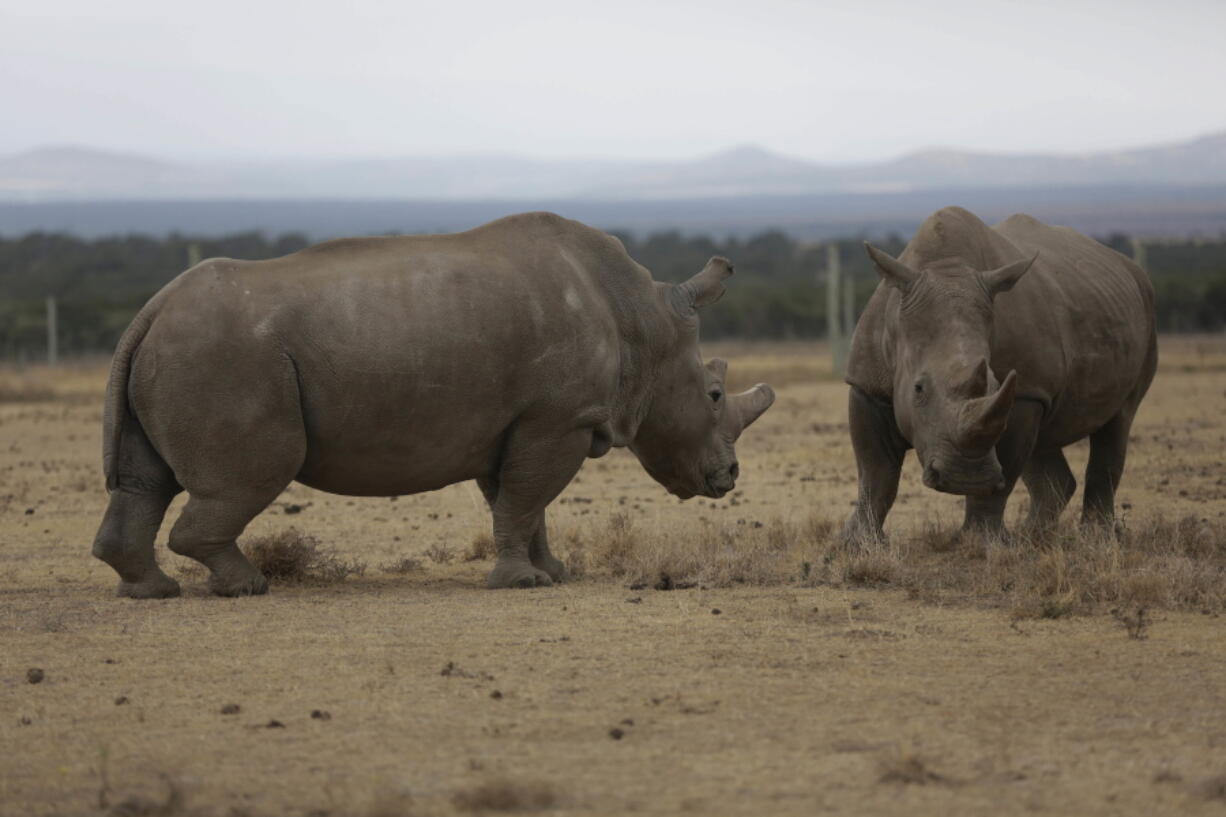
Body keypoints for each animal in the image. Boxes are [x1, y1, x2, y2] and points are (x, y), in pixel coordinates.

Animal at [93, 209, 774, 596]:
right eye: (714, 394)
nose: (730, 476)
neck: (645, 322)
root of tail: (152, 309)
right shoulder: (557, 418)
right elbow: (525, 500)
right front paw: (521, 584)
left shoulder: (523, 422)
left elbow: (523, 504)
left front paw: (552, 575)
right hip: (223, 358)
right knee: (253, 473)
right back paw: (248, 588)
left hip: (184, 351)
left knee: (144, 481)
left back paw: (150, 592)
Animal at [838, 204, 1162, 539]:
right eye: (918, 389)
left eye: (995, 383)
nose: (963, 479)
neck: (946, 267)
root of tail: (1131, 269)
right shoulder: (867, 384)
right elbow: (876, 472)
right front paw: (857, 542)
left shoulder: (1024, 392)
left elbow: (1004, 468)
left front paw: (979, 541)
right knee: (1046, 445)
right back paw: (1033, 535)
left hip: (1145, 315)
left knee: (1119, 419)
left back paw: (1091, 537)